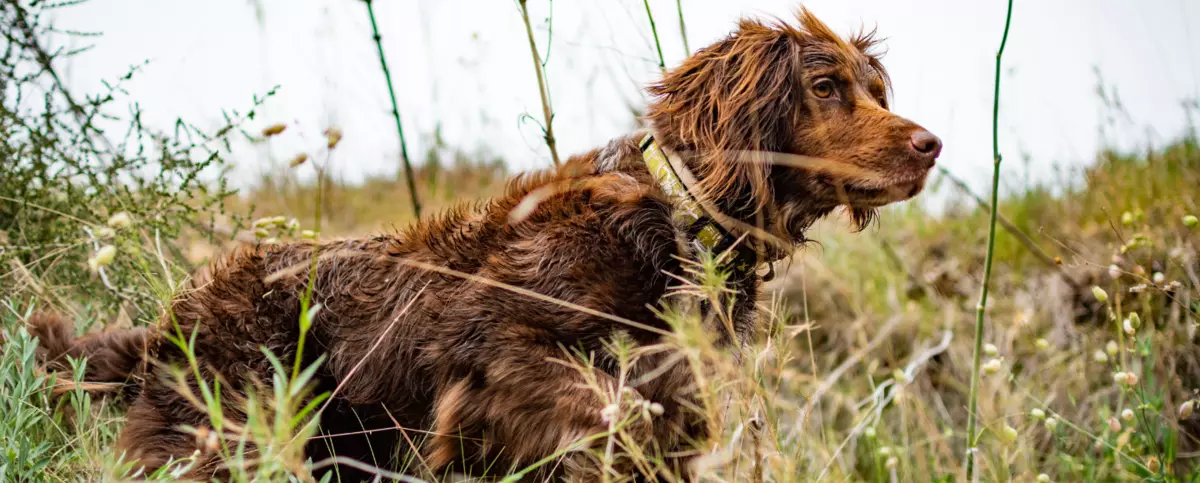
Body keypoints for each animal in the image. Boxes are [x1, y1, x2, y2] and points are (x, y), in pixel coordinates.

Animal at [30, 7, 936, 478]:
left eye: (875, 89)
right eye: (825, 87)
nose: (931, 144)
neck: (673, 224)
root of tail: (164, 328)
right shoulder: (486, 348)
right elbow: (610, 404)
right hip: (242, 426)